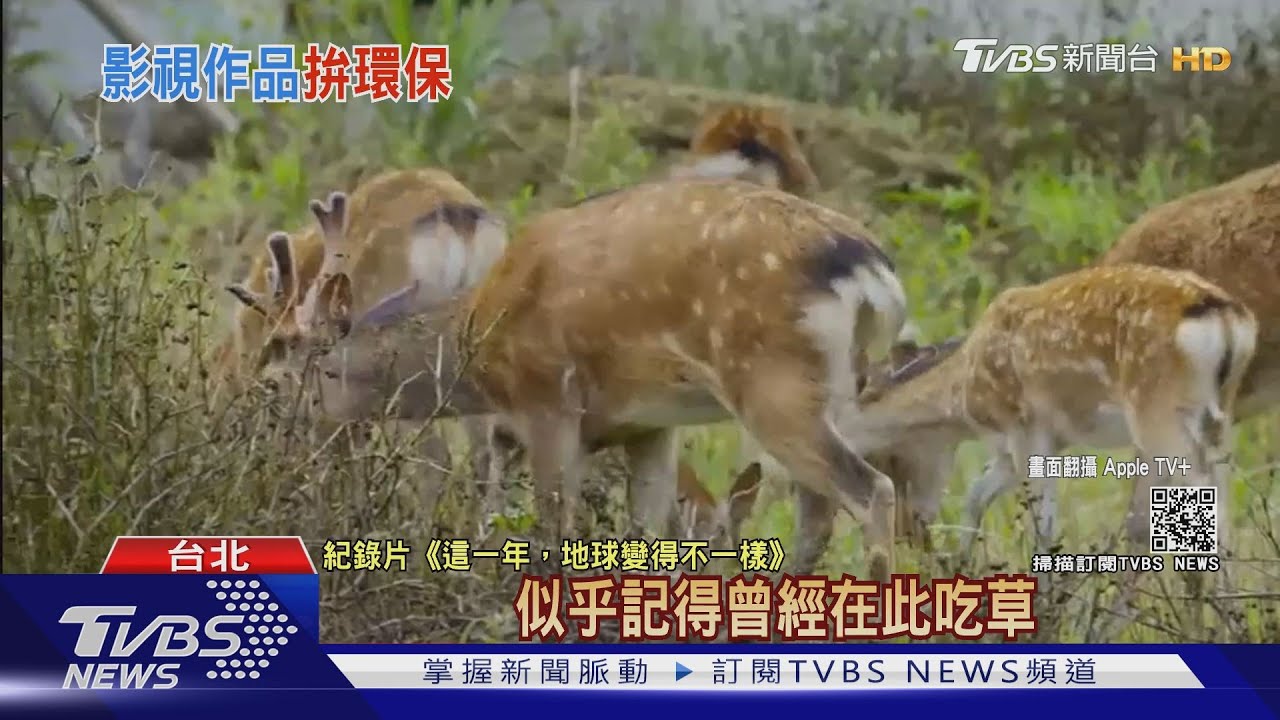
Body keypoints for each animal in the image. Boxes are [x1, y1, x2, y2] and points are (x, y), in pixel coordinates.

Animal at [258, 176, 910, 582]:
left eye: (284, 372)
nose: (281, 453)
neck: (479, 348)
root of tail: (874, 274)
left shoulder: (547, 400)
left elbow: (551, 529)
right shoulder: (649, 425)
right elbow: (649, 534)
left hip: (772, 382)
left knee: (871, 491)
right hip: (839, 389)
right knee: (818, 512)